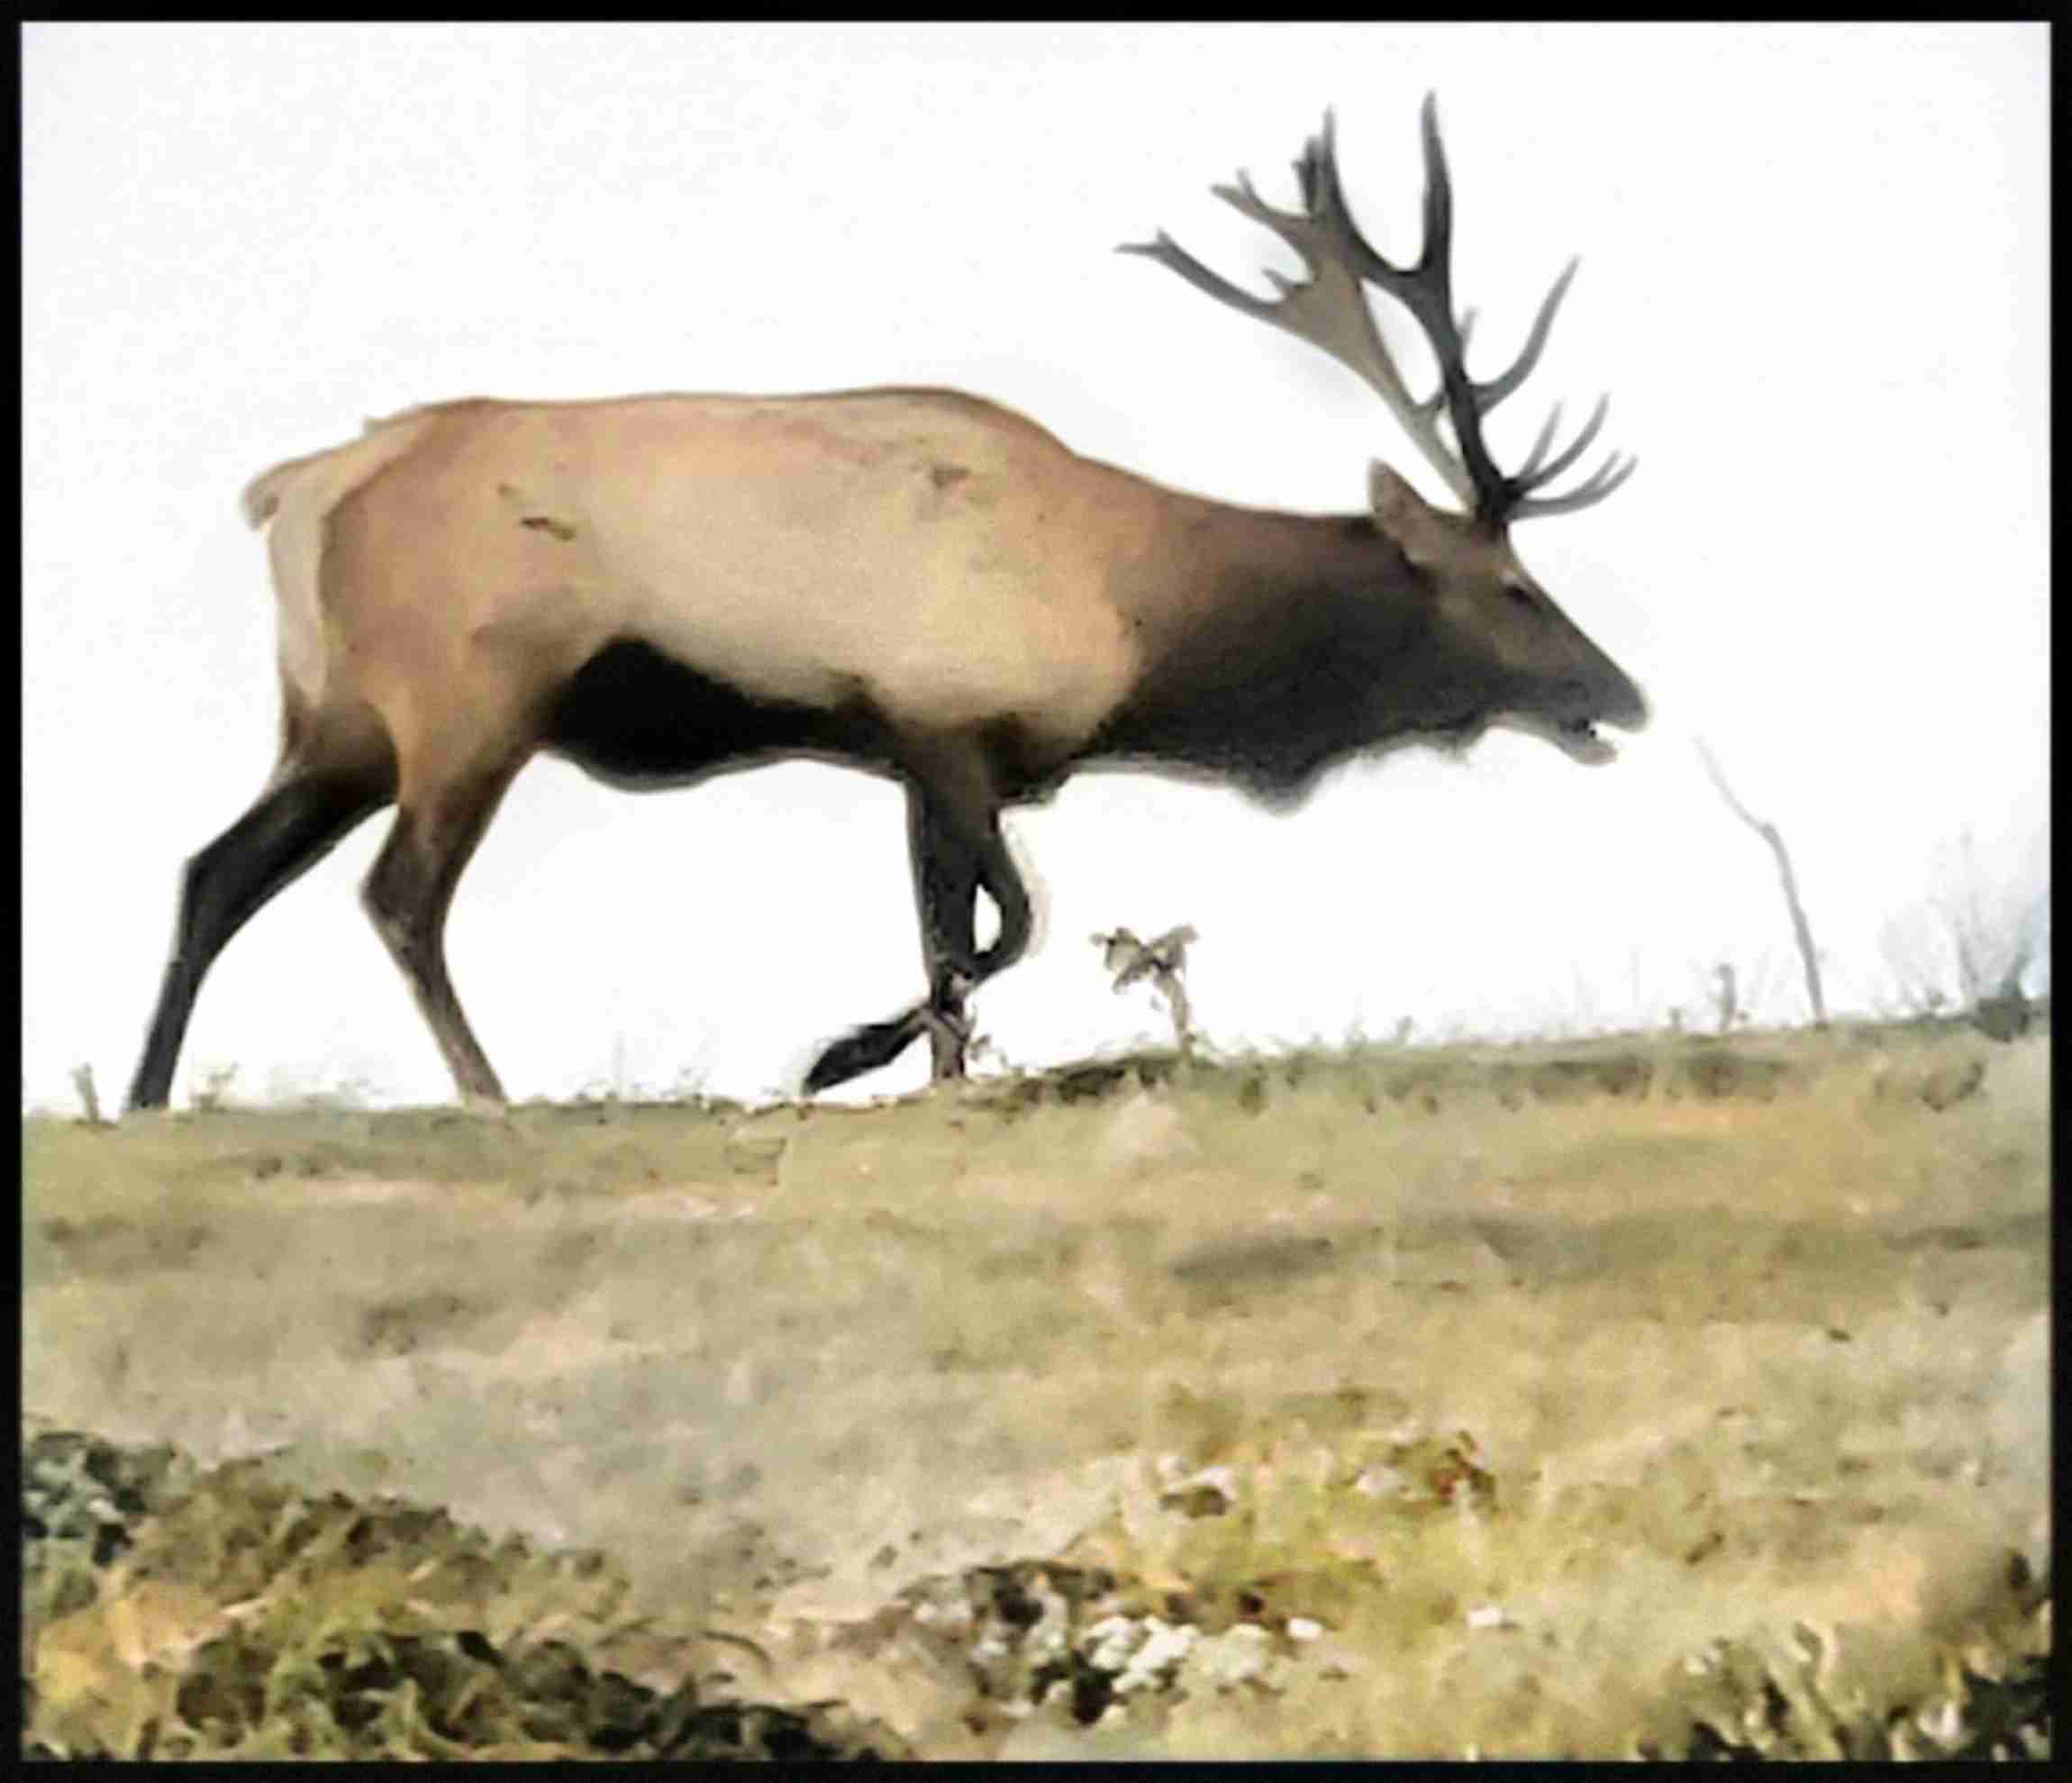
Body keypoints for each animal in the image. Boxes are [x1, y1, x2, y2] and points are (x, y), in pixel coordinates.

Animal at [126, 95, 1646, 1115]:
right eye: (1516, 586)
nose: (1621, 694)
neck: (1143, 624)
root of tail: (294, 490)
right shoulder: (943, 719)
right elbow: (1006, 926)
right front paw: (835, 1053)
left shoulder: (920, 758)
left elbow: (950, 936)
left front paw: (933, 1076)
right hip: (471, 699)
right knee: (398, 897)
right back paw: (490, 1092)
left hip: (335, 719)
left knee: (214, 871)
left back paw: (141, 1092)